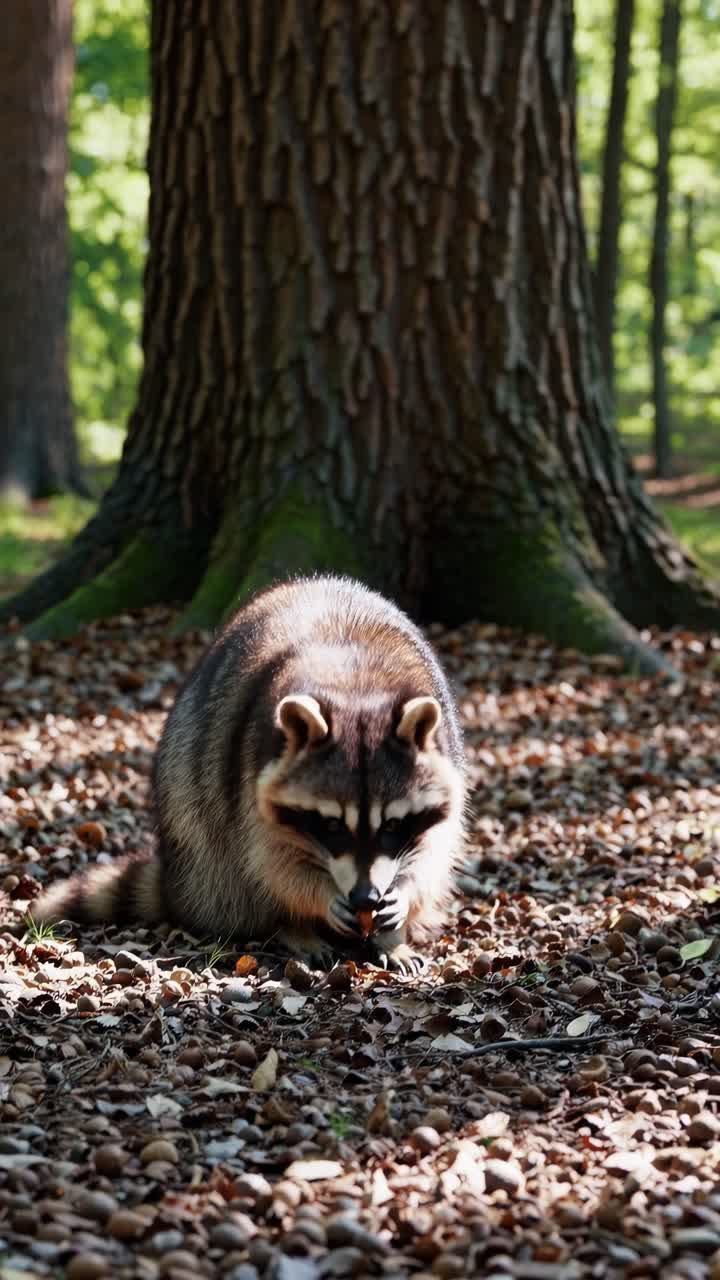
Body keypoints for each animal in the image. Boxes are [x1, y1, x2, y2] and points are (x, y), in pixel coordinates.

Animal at [34, 576, 466, 972]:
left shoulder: (447, 755)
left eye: (392, 824)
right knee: (234, 862)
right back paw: (292, 927)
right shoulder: (249, 770)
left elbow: (435, 847)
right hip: (192, 796)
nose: (365, 899)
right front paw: (316, 900)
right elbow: (268, 860)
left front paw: (401, 903)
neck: (356, 686)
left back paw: (392, 937)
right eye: (331, 824)